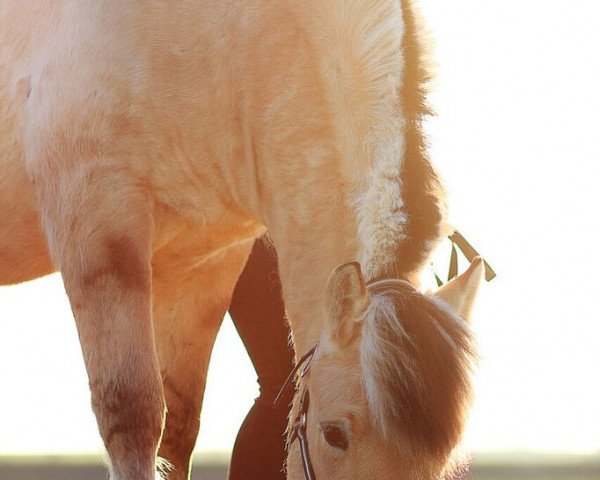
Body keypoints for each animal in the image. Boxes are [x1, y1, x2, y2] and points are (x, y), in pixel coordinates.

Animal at [0, 0, 486, 480]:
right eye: (333, 433)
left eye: (445, 455)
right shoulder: (97, 225)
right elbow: (132, 414)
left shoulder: (203, 263)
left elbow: (179, 426)